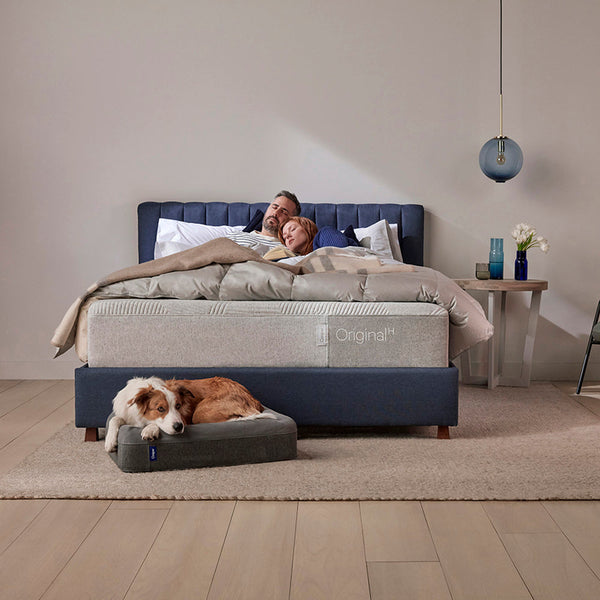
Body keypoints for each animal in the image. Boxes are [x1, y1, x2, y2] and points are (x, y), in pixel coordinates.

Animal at [104, 372, 270, 452]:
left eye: (178, 406)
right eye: (160, 409)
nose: (179, 427)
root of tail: (252, 397)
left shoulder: (183, 419)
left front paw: (150, 430)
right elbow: (114, 419)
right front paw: (110, 441)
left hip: (200, 413)